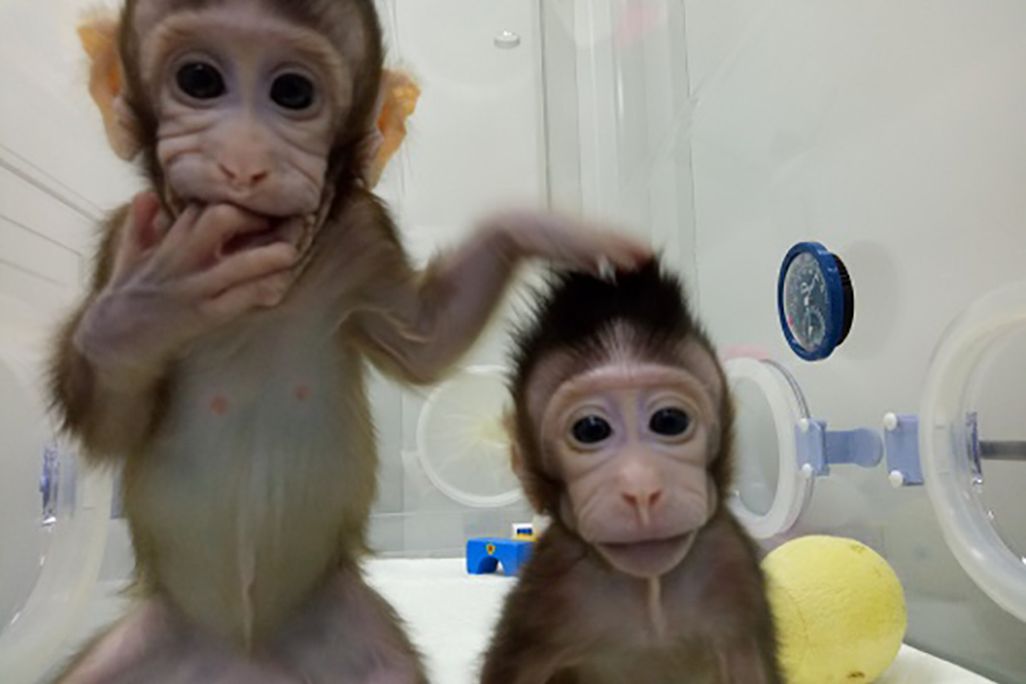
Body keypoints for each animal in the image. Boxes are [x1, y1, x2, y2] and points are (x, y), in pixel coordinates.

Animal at [48, 1, 651, 682]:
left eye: (292, 93)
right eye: (199, 80)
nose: (244, 162)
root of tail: (244, 656)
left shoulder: (363, 234)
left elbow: (427, 339)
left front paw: (539, 226)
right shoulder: (126, 231)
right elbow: (114, 422)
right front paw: (139, 311)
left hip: (336, 628)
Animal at [479, 261, 782, 684]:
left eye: (669, 421)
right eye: (591, 429)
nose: (642, 489)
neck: (650, 592)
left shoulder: (731, 569)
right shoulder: (548, 588)